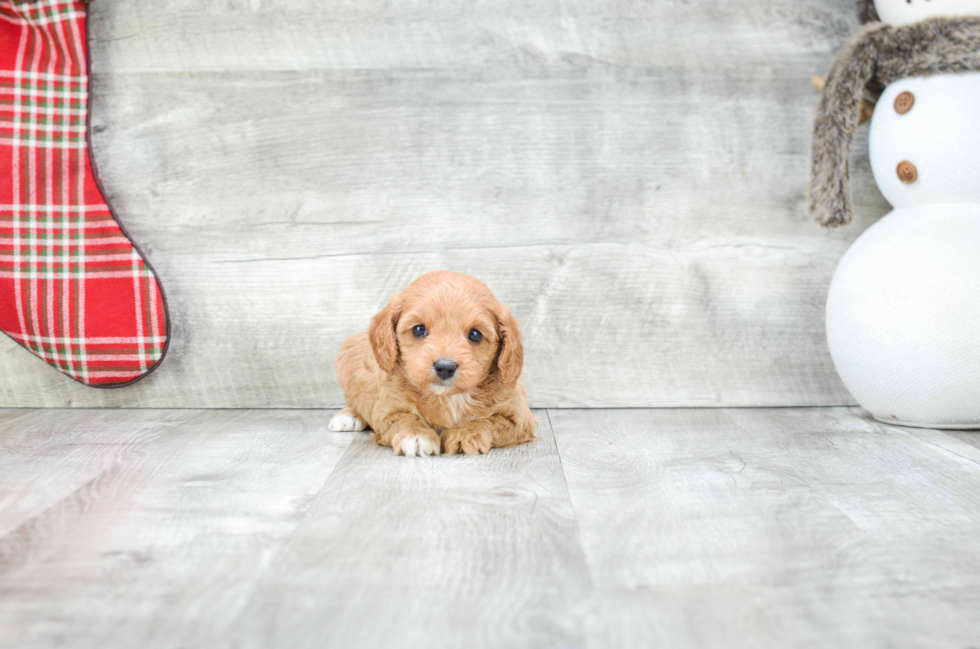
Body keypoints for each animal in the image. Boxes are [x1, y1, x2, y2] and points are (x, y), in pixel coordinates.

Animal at [334, 270, 540, 458]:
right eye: (419, 329)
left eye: (475, 334)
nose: (445, 367)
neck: (449, 397)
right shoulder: (387, 408)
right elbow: (403, 417)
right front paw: (415, 435)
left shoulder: (519, 415)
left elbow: (489, 421)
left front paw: (467, 434)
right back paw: (348, 416)